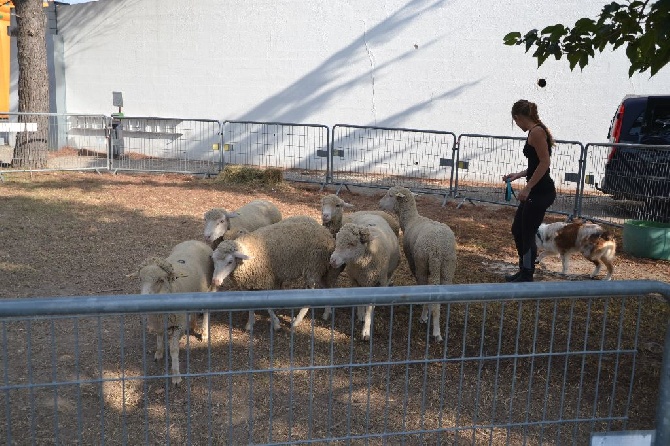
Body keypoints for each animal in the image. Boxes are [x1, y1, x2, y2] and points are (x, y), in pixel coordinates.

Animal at [129, 239, 215, 386]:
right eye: (140, 279)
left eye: (160, 280)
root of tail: (195, 241)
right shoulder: (158, 322)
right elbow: (159, 336)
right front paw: (159, 352)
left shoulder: (178, 325)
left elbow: (174, 350)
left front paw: (176, 375)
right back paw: (193, 325)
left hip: (207, 289)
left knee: (206, 311)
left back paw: (204, 333)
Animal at [211, 214, 342, 332]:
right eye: (214, 260)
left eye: (230, 261)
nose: (215, 281)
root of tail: (326, 232)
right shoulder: (247, 286)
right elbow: (250, 306)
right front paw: (250, 324)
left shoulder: (266, 283)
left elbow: (268, 307)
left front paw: (276, 324)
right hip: (321, 269)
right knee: (327, 288)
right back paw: (327, 312)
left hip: (312, 268)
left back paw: (297, 321)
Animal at [380, 186, 460, 342]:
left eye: (390, 195)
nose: (379, 203)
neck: (411, 220)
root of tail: (438, 247)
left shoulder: (413, 261)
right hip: (448, 267)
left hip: (426, 263)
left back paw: (431, 325)